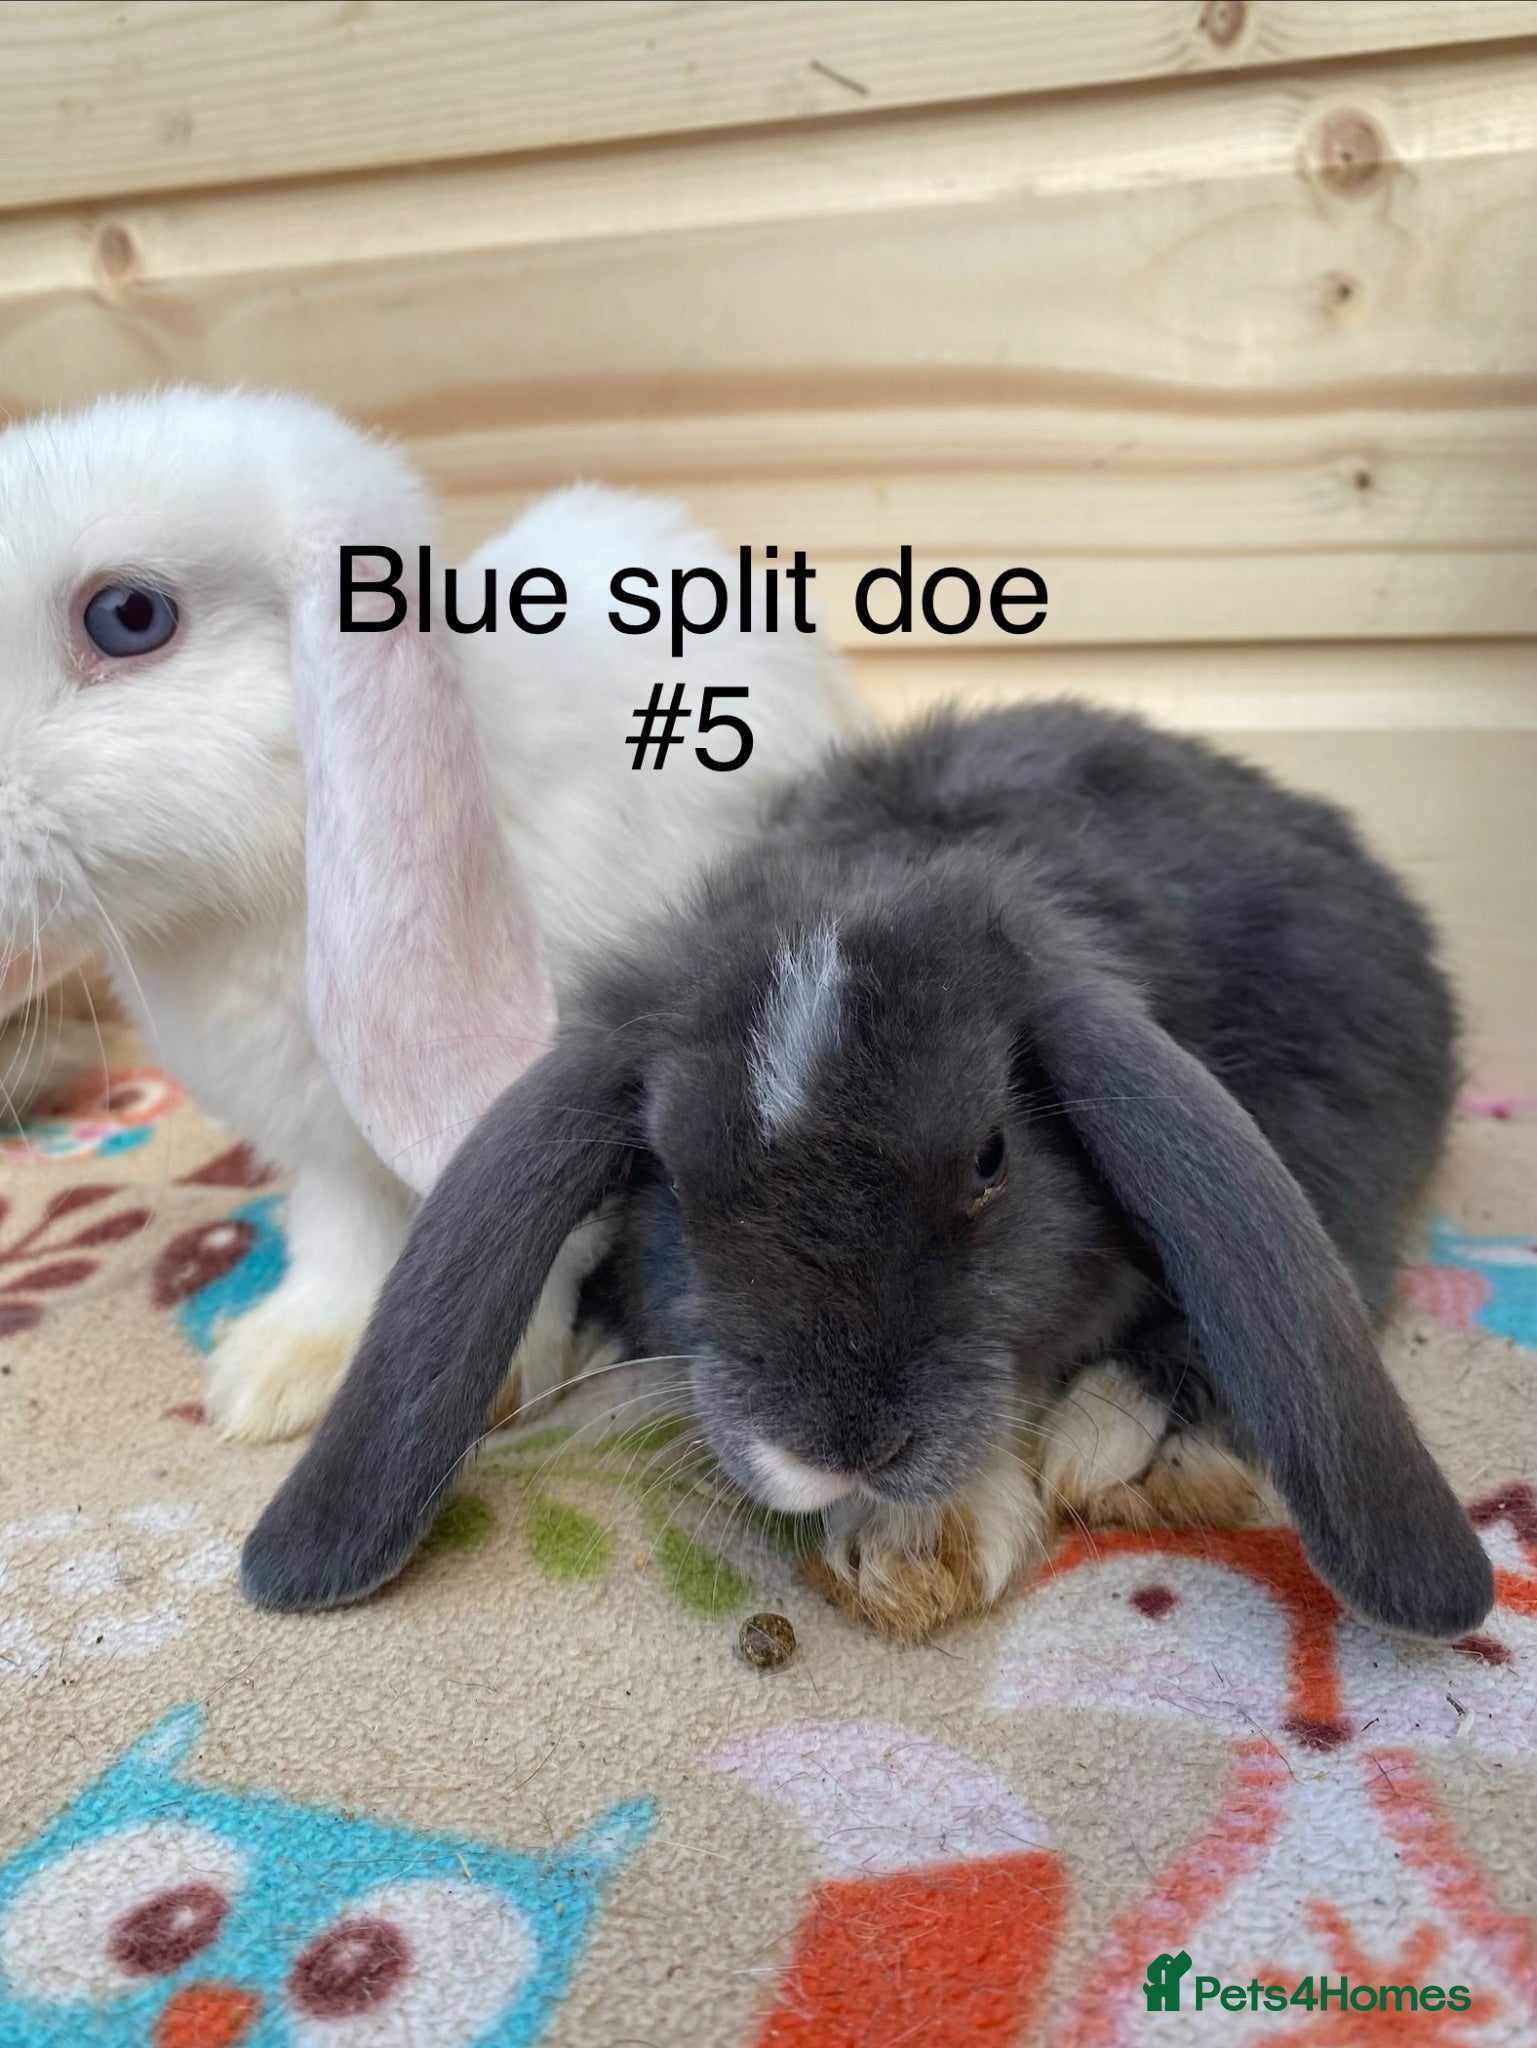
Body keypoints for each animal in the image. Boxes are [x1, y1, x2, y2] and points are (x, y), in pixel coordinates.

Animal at [0, 386, 855, 1442]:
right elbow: (341, 1242)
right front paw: (276, 1376)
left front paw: (486, 1377)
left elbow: (526, 1245)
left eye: (128, 616)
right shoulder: (323, 1157)